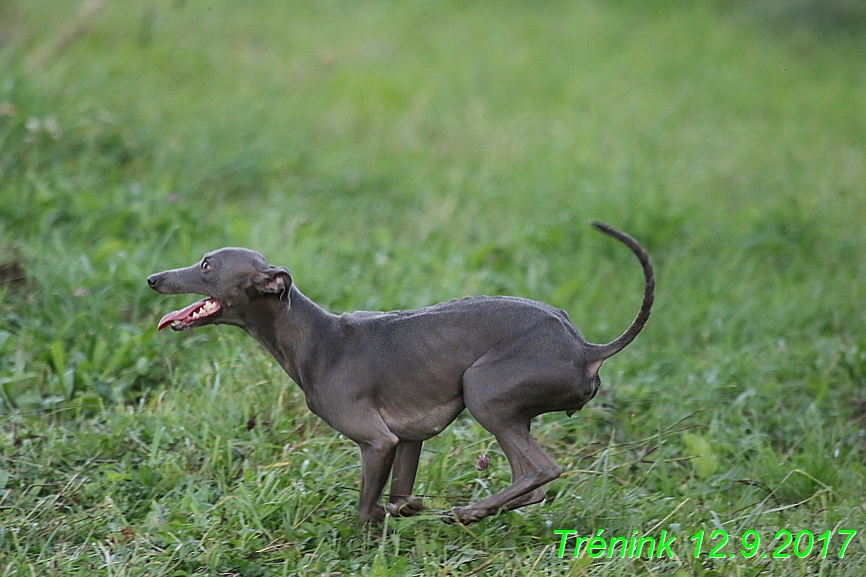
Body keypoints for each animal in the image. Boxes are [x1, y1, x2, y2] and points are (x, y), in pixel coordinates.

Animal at [148, 219, 652, 520]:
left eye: (206, 265)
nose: (153, 278)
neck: (315, 337)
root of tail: (586, 348)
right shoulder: (409, 438)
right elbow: (400, 493)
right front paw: (407, 510)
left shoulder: (378, 441)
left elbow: (366, 509)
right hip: (506, 406)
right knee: (531, 485)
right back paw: (474, 511)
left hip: (483, 390)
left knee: (540, 471)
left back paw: (466, 512)